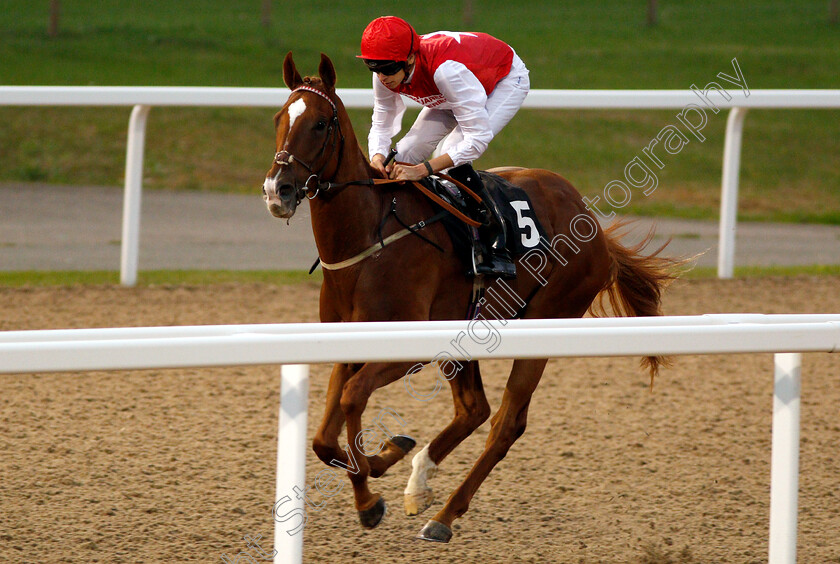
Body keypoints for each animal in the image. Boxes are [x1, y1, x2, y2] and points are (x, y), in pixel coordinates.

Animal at [264, 53, 684, 540]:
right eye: (279, 119)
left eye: (319, 124)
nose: (277, 190)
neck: (369, 239)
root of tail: (592, 222)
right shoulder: (347, 343)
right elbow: (323, 437)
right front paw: (377, 477)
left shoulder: (408, 349)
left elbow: (351, 399)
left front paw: (373, 479)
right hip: (468, 329)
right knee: (474, 409)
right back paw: (418, 480)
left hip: (545, 322)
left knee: (505, 423)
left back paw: (444, 516)